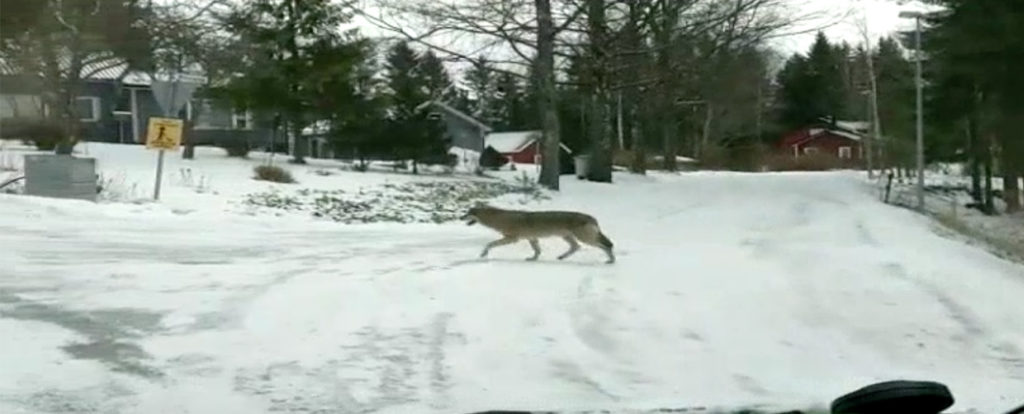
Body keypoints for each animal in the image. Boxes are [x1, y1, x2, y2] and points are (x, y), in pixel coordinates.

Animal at [462, 204, 614, 264]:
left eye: (468, 213)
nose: (459, 217)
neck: (499, 218)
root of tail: (592, 217)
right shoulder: (532, 238)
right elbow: (537, 251)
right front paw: (533, 259)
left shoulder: (512, 239)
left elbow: (489, 244)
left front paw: (483, 254)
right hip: (568, 237)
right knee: (576, 247)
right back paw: (561, 257)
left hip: (586, 239)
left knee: (607, 246)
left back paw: (611, 260)